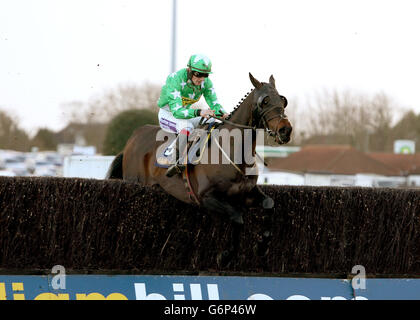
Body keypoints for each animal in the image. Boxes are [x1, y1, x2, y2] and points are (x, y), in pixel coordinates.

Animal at [106, 74, 294, 266]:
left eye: (283, 100)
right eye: (265, 101)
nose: (285, 130)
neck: (233, 151)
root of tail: (133, 138)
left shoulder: (246, 193)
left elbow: (269, 204)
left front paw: (262, 246)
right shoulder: (206, 197)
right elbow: (237, 218)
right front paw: (226, 255)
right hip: (134, 180)